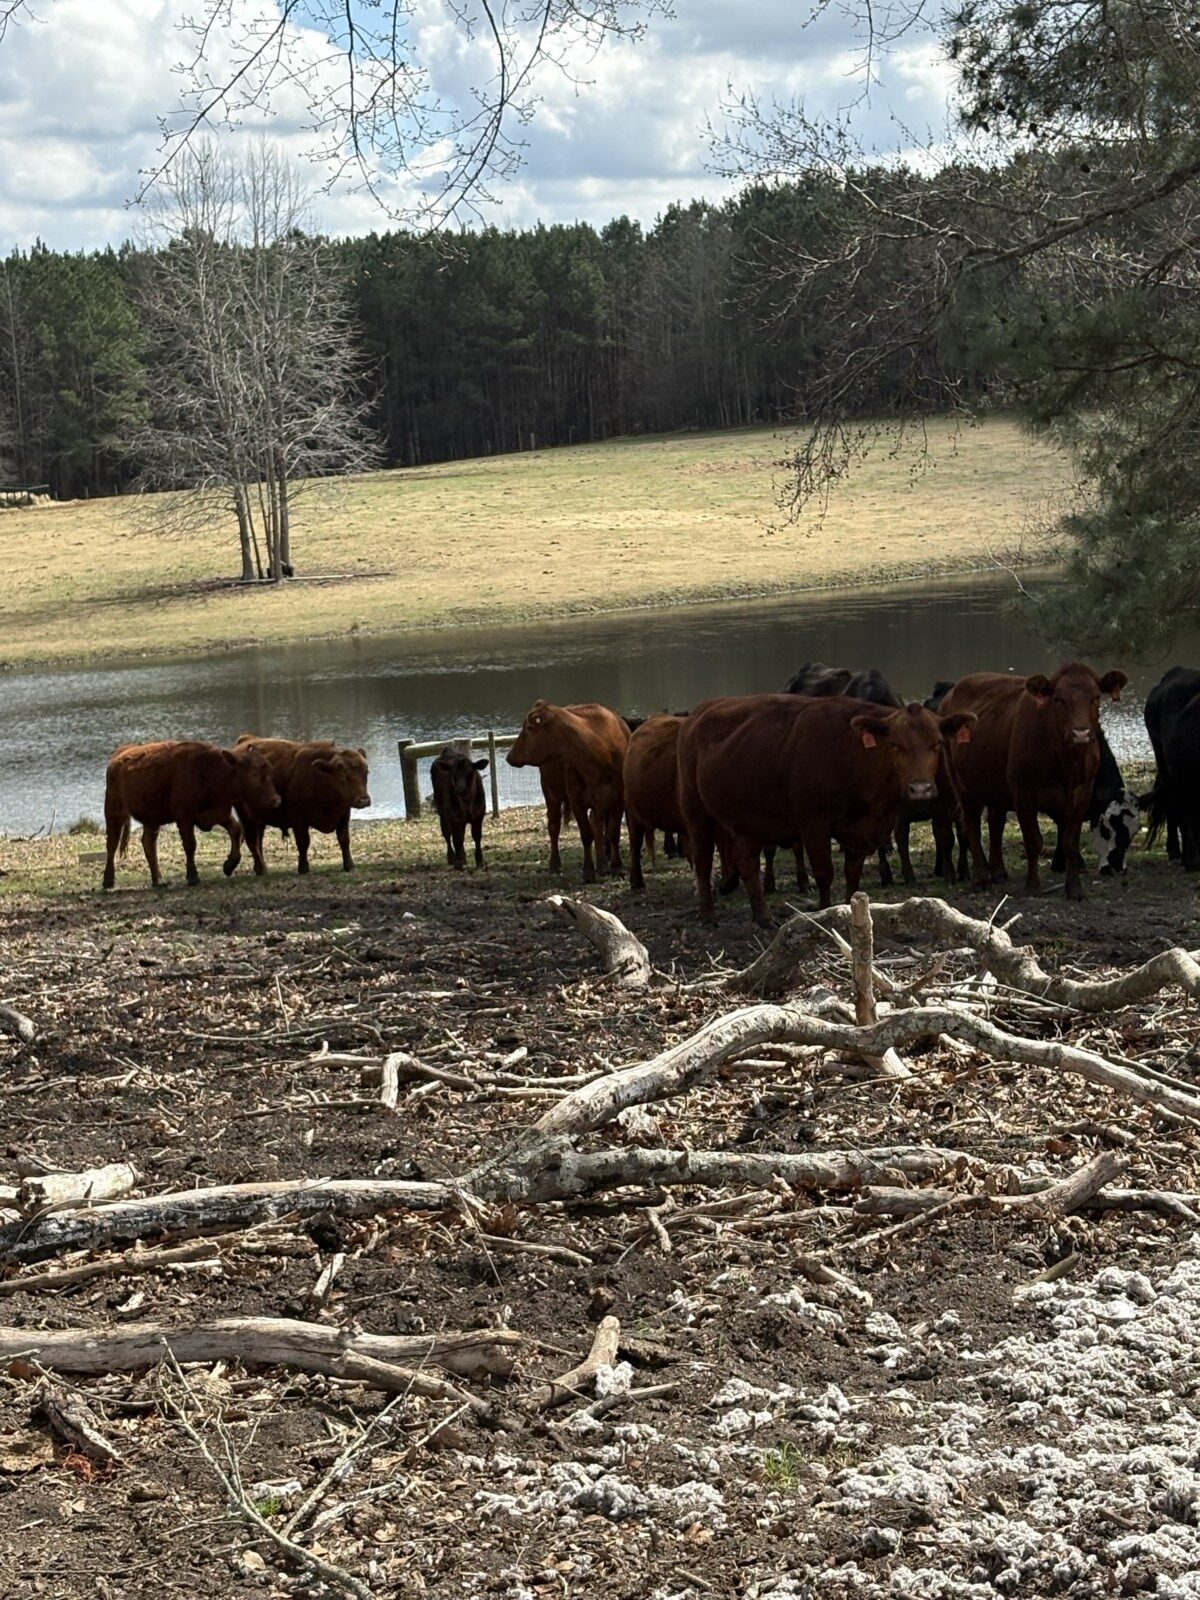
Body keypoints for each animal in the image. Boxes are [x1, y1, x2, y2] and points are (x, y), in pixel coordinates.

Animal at [102, 740, 279, 890]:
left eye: (270, 771)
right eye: (254, 774)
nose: (276, 800)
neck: (211, 772)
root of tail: (119, 755)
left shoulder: (219, 813)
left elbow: (236, 830)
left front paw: (229, 865)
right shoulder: (184, 818)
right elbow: (190, 845)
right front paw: (193, 876)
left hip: (152, 819)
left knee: (148, 843)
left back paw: (158, 880)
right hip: (114, 812)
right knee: (112, 845)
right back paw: (108, 881)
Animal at [233, 736, 371, 875]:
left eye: (366, 772)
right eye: (342, 775)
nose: (364, 800)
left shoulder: (344, 814)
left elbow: (344, 840)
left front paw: (349, 865)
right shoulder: (299, 820)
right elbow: (303, 842)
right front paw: (303, 868)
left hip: (260, 819)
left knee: (258, 840)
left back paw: (261, 867)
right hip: (246, 817)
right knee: (252, 840)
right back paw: (260, 869)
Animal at [507, 700, 630, 882]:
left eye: (529, 727)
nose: (509, 756)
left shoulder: (619, 799)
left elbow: (613, 833)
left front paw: (617, 867)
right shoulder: (576, 799)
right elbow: (586, 834)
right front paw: (588, 871)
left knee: (597, 825)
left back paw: (602, 865)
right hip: (550, 793)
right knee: (554, 826)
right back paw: (555, 865)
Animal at [677, 694, 976, 924]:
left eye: (937, 743)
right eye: (895, 744)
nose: (920, 788)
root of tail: (698, 715)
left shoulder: (859, 831)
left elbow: (852, 877)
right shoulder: (814, 825)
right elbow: (824, 873)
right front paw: (824, 912)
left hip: (748, 821)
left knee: (748, 864)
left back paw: (763, 918)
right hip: (696, 812)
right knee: (702, 861)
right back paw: (708, 915)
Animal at [941, 663, 1128, 900]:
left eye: (1095, 697)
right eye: (1058, 699)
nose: (1080, 733)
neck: (1066, 764)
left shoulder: (1083, 793)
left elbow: (1070, 843)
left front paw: (1075, 889)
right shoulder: (1023, 792)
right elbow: (1033, 840)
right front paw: (1032, 887)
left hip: (995, 787)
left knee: (995, 823)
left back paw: (998, 871)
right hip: (962, 784)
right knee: (972, 826)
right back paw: (981, 879)